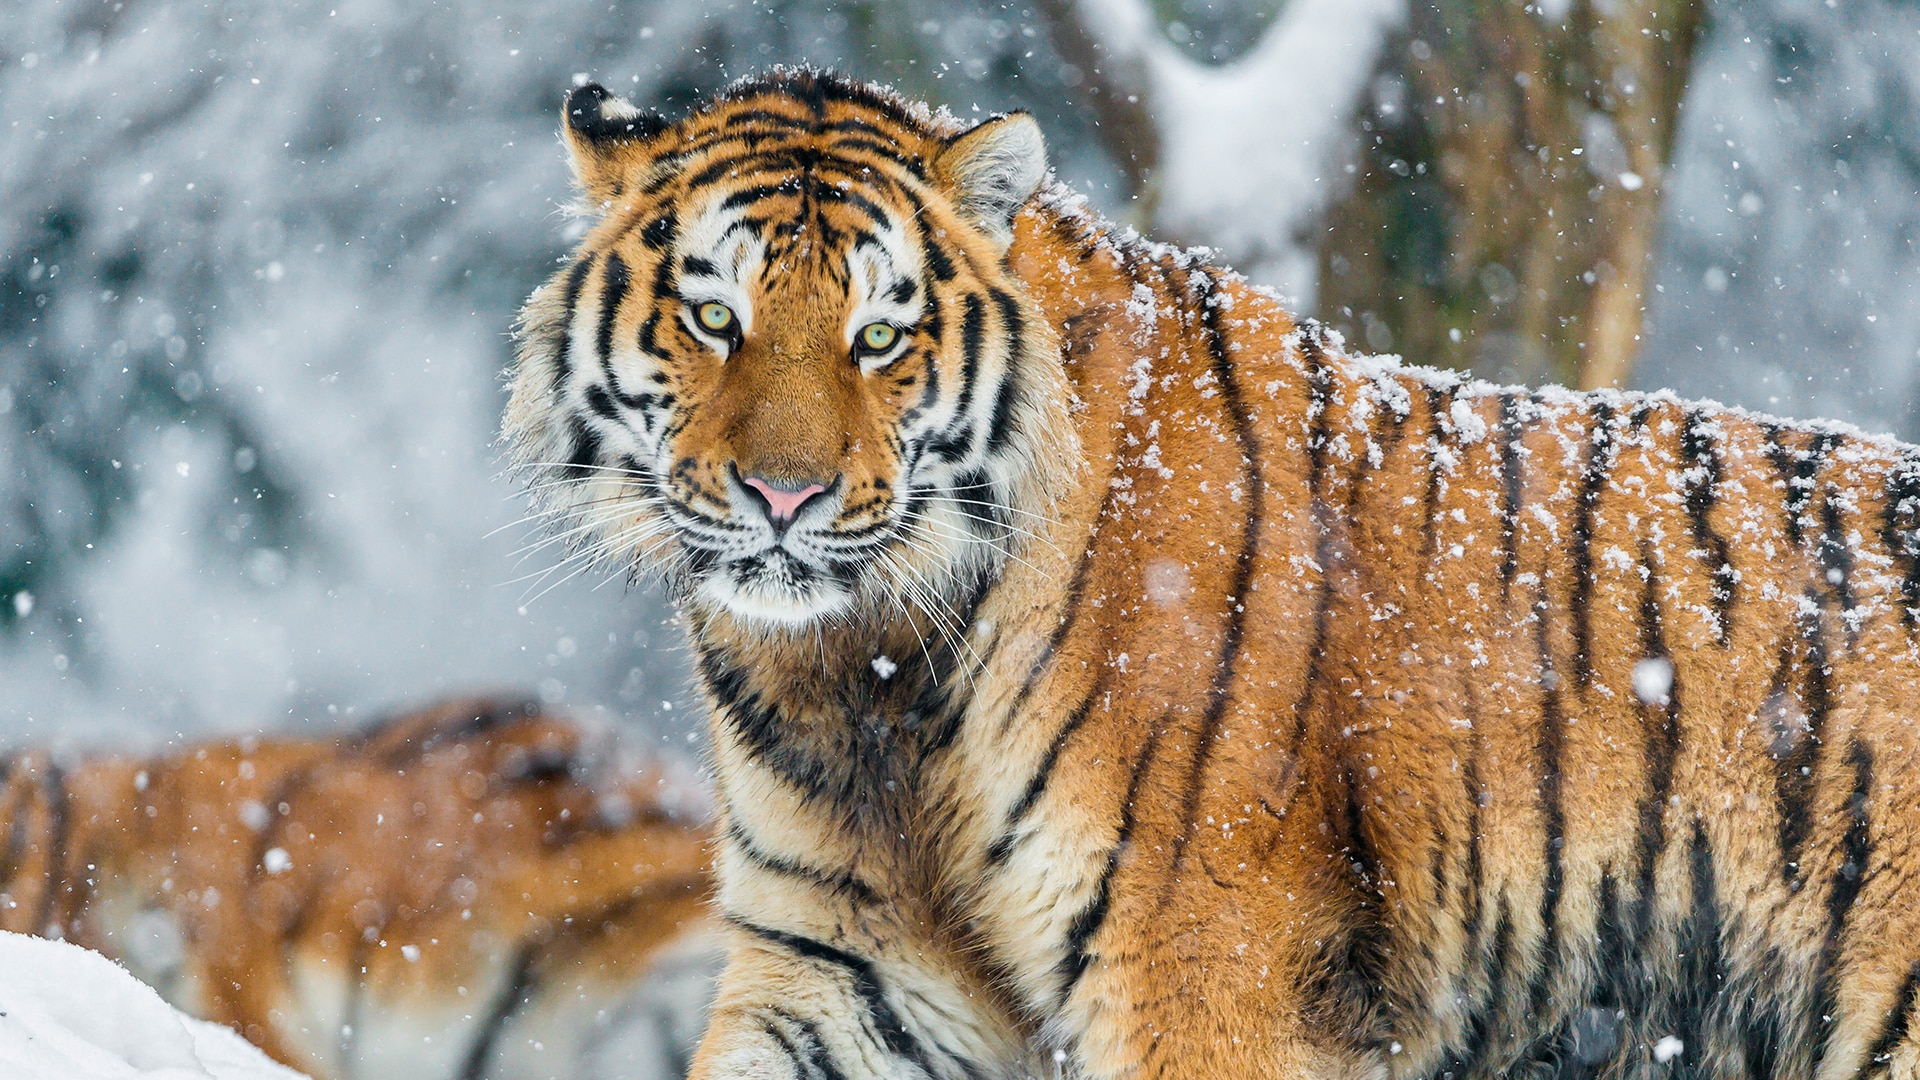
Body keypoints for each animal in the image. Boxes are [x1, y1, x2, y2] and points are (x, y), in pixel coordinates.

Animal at [503, 69, 1920, 1076]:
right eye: (714, 318)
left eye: (881, 336)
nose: (783, 497)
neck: (867, 676)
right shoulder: (836, 966)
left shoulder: (1205, 961)